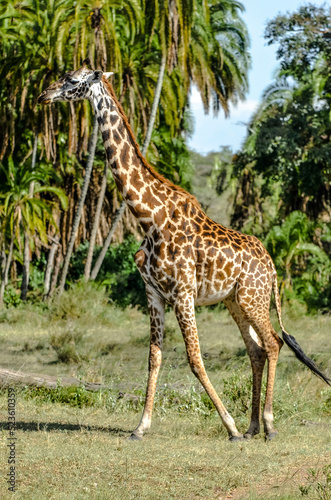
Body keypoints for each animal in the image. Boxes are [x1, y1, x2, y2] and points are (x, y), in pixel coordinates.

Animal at [38, 61, 330, 442]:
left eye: (72, 80)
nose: (44, 95)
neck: (148, 216)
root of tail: (272, 265)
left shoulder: (183, 293)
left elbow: (194, 358)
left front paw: (229, 426)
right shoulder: (154, 293)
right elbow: (154, 357)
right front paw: (140, 427)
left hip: (253, 297)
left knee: (273, 343)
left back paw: (267, 424)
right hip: (234, 302)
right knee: (255, 350)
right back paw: (253, 426)